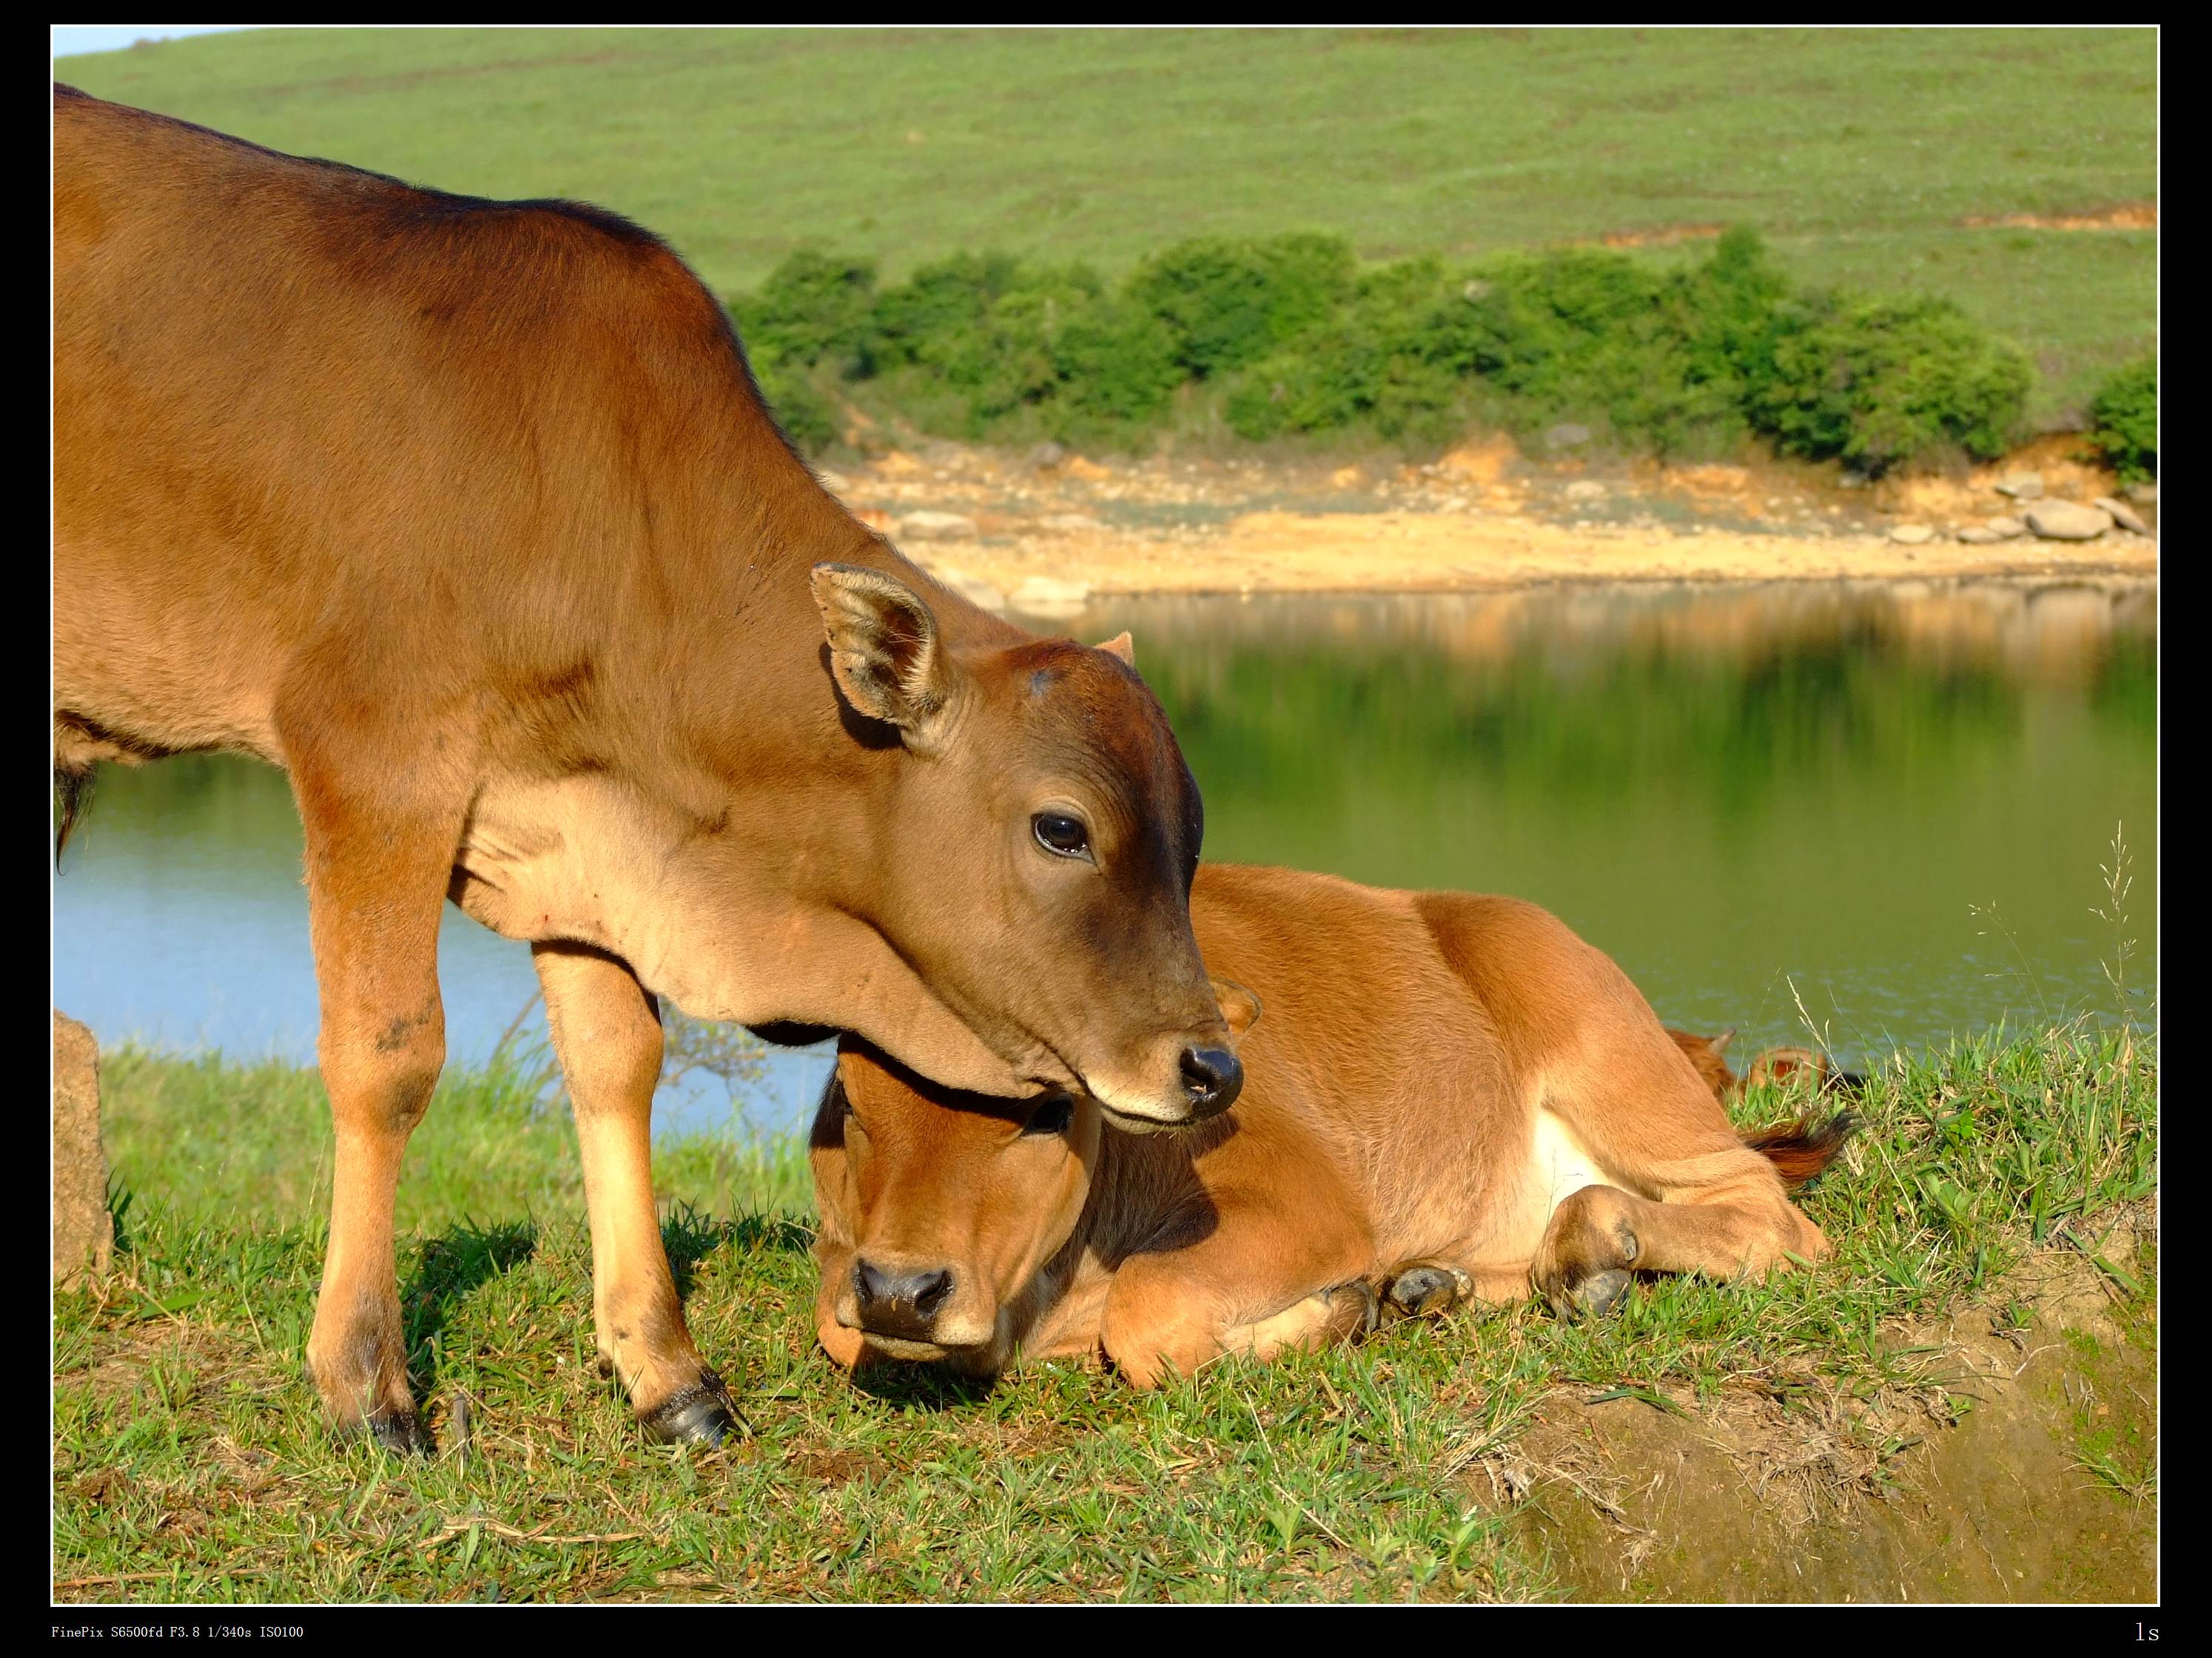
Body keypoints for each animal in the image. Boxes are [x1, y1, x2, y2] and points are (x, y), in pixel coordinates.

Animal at [52, 87, 1238, 1450]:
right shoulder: (376, 753)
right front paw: (365, 1382)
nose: (1210, 1068)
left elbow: (617, 1067)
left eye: (1190, 834)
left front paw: (666, 1371)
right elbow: (387, 1057)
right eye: (1060, 827)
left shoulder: (571, 828)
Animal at [813, 871, 1849, 1388]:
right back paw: (1431, 1288)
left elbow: (1149, 1315)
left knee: (1766, 1215)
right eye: (852, 1101)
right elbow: (834, 1326)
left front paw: (1336, 1311)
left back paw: (1583, 1260)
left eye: (1048, 1108)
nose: (903, 1293)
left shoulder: (1300, 1203)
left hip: (1614, 1060)